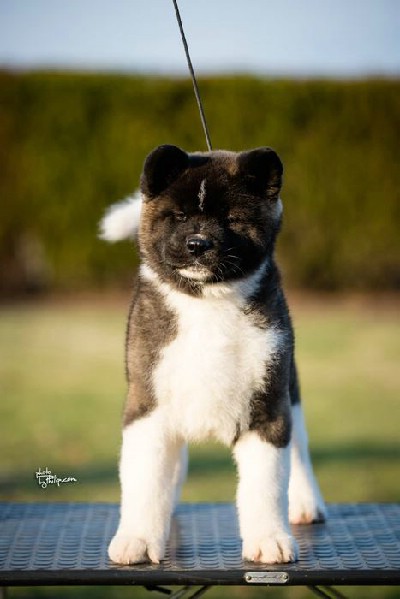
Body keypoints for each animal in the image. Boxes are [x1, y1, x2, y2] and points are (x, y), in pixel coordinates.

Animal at [101, 145, 324, 568]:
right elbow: (145, 481)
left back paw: (306, 503)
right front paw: (138, 538)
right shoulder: (147, 407)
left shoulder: (268, 409)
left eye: (231, 218)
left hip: (291, 392)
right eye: (179, 216)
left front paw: (268, 539)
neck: (208, 302)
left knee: (300, 449)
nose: (198, 244)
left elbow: (265, 485)